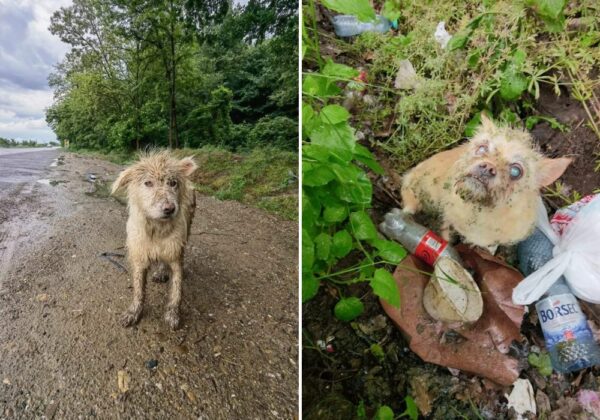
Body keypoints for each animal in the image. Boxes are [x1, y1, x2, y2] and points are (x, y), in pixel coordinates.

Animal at [400, 114, 568, 249]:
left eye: (516, 171)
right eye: (482, 148)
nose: (488, 167)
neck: (482, 212)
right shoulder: (448, 216)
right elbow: (445, 231)